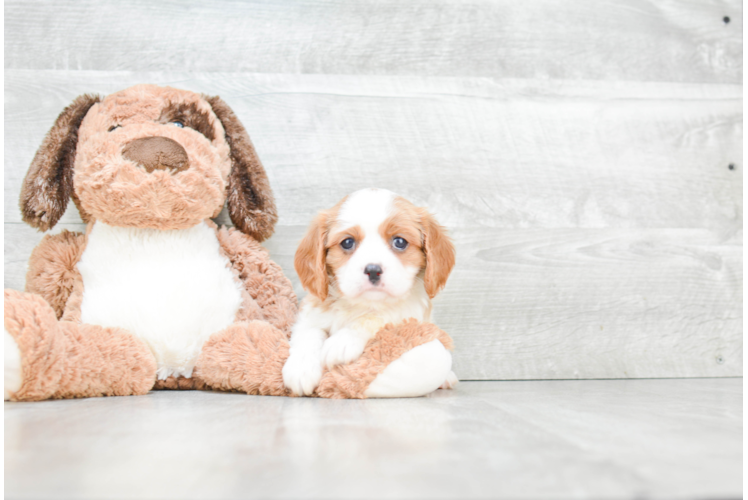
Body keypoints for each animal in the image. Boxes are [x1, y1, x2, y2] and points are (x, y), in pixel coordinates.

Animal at [280, 188, 456, 394]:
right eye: (347, 242)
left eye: (399, 242)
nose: (373, 270)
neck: (361, 304)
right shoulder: (310, 312)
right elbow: (309, 333)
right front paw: (301, 368)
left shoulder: (408, 312)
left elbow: (374, 318)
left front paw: (343, 341)